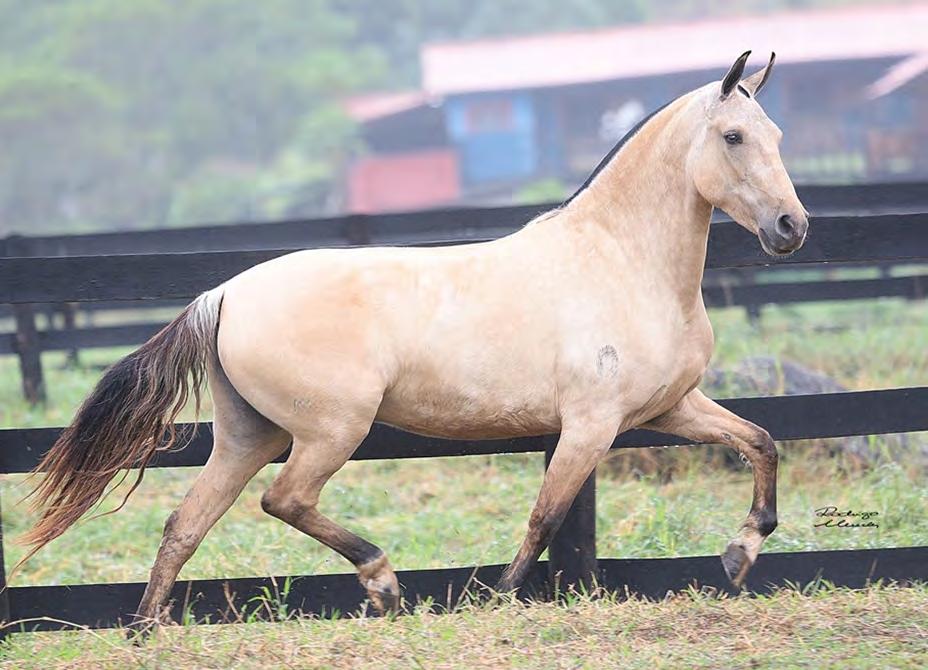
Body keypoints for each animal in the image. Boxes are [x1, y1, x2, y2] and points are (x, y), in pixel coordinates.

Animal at [21, 53, 808, 636]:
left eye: (776, 135)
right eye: (733, 137)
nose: (790, 228)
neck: (620, 261)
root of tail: (224, 295)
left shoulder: (670, 408)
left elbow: (761, 441)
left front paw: (740, 554)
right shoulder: (592, 425)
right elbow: (545, 517)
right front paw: (494, 598)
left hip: (247, 434)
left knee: (186, 522)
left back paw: (148, 629)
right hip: (331, 429)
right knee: (284, 500)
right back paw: (383, 581)